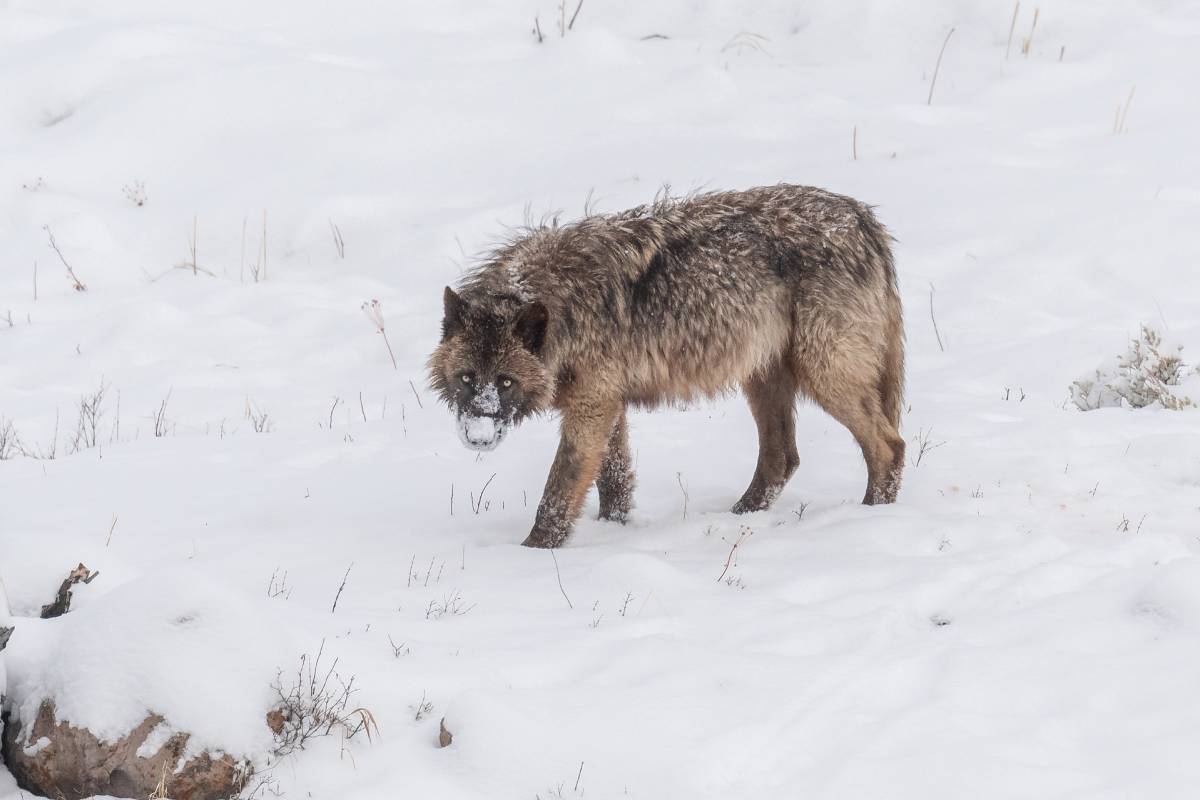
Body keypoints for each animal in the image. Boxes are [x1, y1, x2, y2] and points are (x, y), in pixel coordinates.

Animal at [427, 185, 902, 551]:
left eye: (505, 382)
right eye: (467, 379)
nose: (478, 438)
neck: (561, 306)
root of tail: (864, 219)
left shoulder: (591, 407)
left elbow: (558, 491)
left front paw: (531, 554)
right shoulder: (607, 403)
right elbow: (614, 482)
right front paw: (613, 532)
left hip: (824, 375)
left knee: (888, 446)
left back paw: (872, 519)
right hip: (762, 378)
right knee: (782, 458)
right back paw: (738, 518)